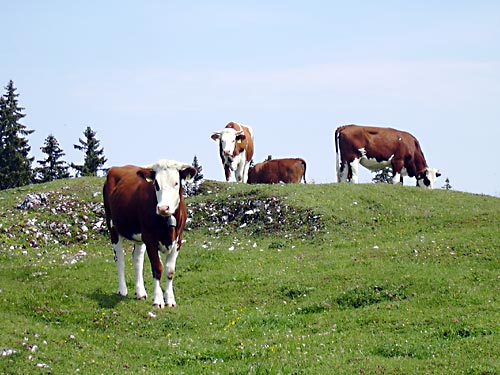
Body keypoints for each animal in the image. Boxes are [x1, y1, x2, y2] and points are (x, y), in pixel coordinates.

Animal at [102, 159, 196, 308]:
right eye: (156, 184)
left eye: (176, 183)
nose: (163, 208)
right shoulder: (150, 238)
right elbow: (157, 268)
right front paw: (158, 300)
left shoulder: (178, 240)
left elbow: (170, 270)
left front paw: (170, 300)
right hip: (113, 227)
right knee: (120, 258)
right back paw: (122, 290)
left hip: (140, 237)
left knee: (137, 260)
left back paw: (141, 292)